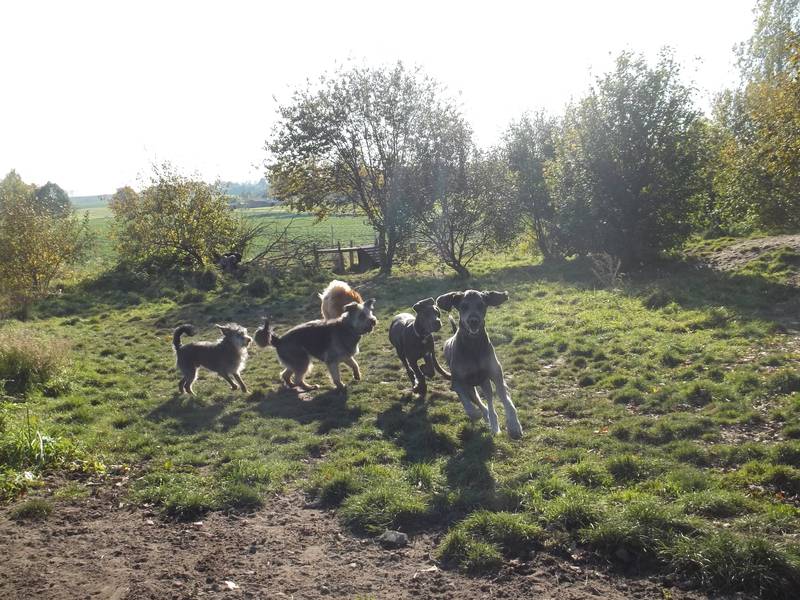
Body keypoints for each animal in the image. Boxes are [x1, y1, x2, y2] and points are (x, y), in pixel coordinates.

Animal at [436, 290, 523, 439]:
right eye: (463, 306)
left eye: (481, 305)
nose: (474, 321)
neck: (473, 345)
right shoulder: (457, 382)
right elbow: (468, 405)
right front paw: (476, 414)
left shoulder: (497, 377)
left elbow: (507, 401)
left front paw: (514, 426)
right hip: (471, 387)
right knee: (479, 402)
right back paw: (485, 416)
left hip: (485, 383)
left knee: (490, 402)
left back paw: (494, 425)